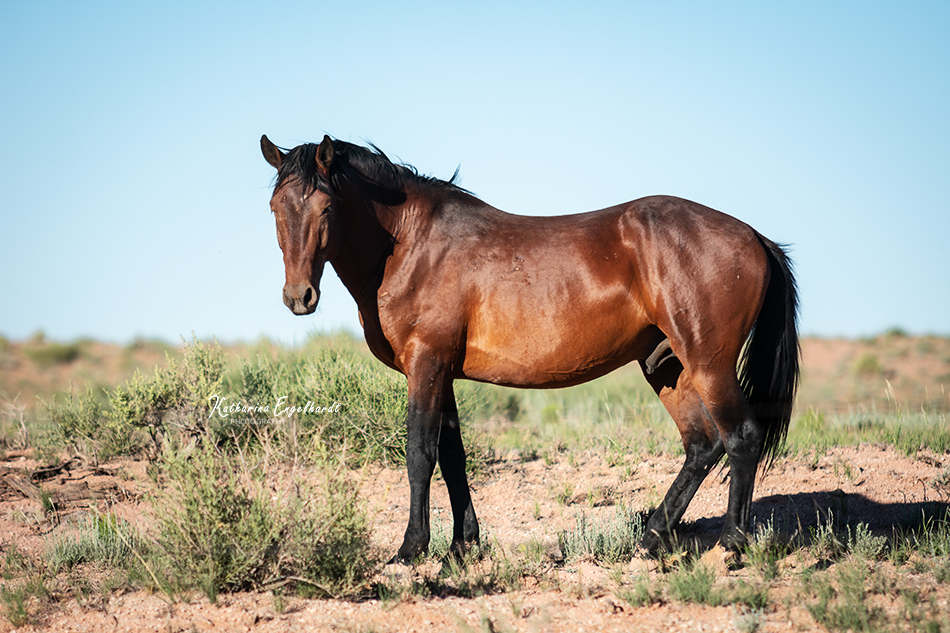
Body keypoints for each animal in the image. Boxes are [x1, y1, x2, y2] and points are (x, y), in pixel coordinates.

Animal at [262, 135, 804, 564]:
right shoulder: (444, 372)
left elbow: (420, 453)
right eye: (275, 208)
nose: (298, 297)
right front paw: (462, 546)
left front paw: (411, 549)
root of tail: (755, 237)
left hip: (709, 364)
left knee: (741, 437)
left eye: (326, 207)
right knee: (702, 444)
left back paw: (731, 544)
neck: (409, 244)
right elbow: (453, 456)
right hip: (666, 367)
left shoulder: (426, 364)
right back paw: (650, 538)